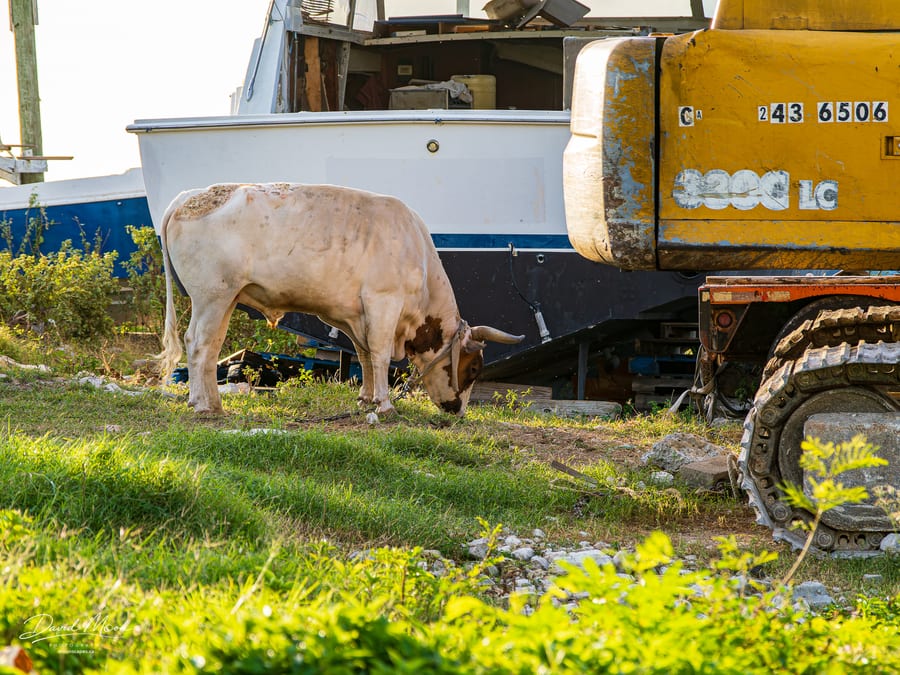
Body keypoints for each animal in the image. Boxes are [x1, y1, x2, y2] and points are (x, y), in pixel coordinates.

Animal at [158, 182, 524, 416]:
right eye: (473, 367)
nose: (458, 412)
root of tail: (191, 196)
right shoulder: (383, 303)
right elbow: (379, 356)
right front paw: (385, 405)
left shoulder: (354, 315)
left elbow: (364, 356)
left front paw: (365, 399)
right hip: (211, 296)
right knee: (197, 344)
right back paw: (201, 404)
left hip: (226, 299)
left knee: (212, 346)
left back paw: (214, 403)